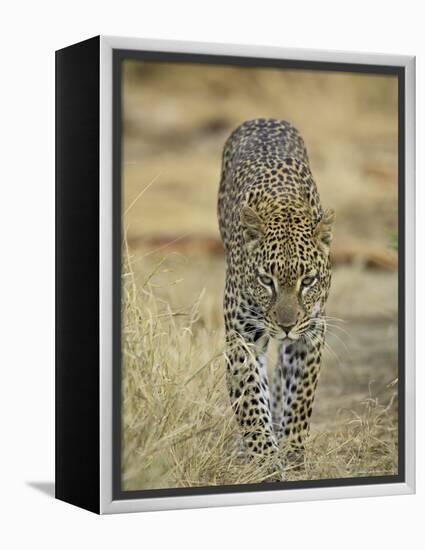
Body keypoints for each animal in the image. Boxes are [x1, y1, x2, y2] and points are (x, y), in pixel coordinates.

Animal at [219, 119, 334, 478]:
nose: (285, 325)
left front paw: (292, 453)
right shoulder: (241, 336)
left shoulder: (311, 333)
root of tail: (264, 118)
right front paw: (266, 460)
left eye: (307, 281)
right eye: (265, 281)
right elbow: (251, 403)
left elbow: (300, 399)